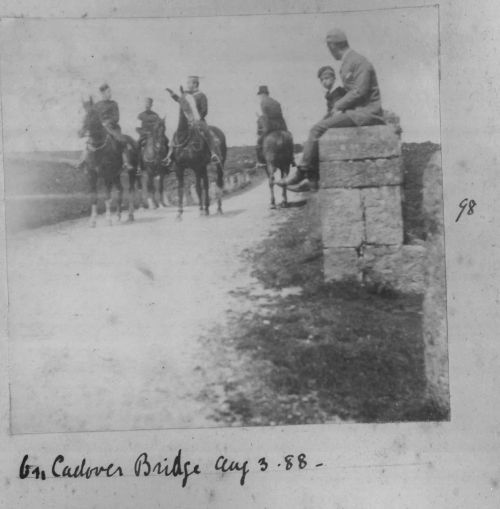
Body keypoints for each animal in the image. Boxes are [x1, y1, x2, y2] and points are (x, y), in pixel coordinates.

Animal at [79, 97, 140, 226]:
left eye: (91, 114)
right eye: (83, 114)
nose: (80, 132)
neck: (97, 149)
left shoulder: (106, 176)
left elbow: (107, 197)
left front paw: (108, 219)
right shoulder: (92, 176)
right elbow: (94, 197)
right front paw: (92, 221)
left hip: (131, 173)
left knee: (131, 191)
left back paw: (130, 215)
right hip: (116, 175)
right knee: (120, 190)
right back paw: (118, 215)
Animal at [171, 89, 228, 218]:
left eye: (195, 102)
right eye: (183, 102)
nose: (194, 119)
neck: (184, 140)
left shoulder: (196, 167)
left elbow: (197, 187)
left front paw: (200, 210)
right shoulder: (179, 168)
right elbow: (180, 188)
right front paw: (179, 213)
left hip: (219, 163)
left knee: (219, 182)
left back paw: (218, 208)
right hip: (204, 166)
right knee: (206, 184)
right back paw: (207, 208)